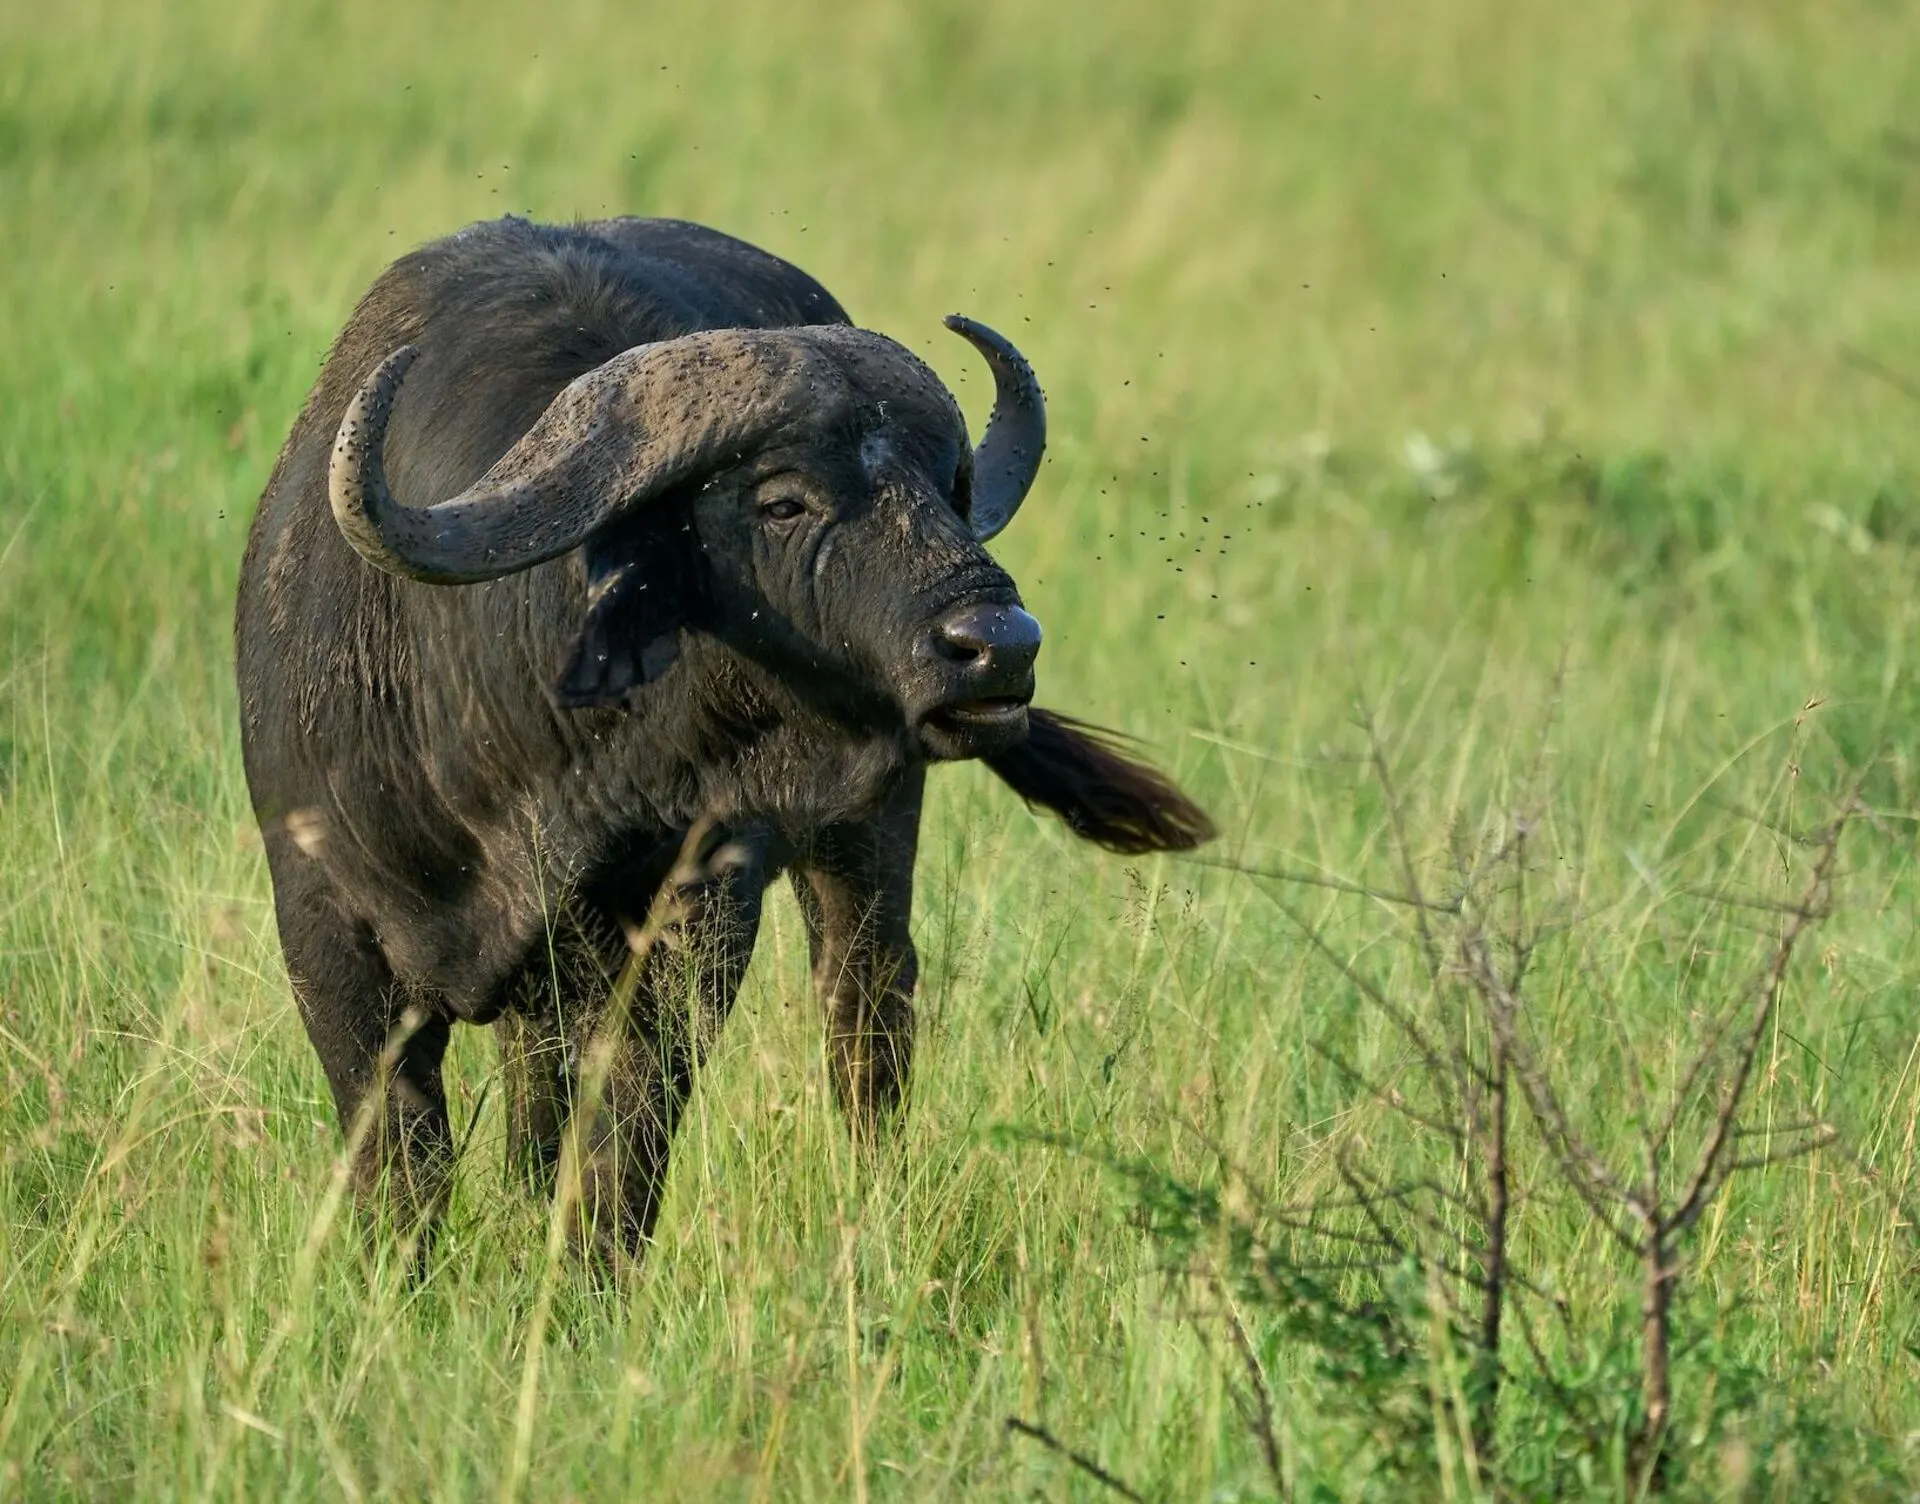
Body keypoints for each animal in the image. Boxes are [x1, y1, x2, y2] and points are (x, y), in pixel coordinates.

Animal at [232, 215, 1205, 1267]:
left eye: (946, 491)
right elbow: (403, 1163)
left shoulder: (688, 923)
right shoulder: (324, 931)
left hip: (867, 836)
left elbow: (624, 1142)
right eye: (782, 501)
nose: (999, 646)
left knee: (866, 1021)